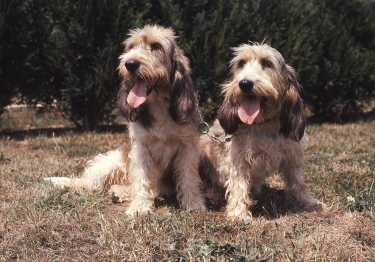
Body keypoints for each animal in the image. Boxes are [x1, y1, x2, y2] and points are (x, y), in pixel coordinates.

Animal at [46, 25, 209, 215]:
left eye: (156, 46)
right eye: (131, 46)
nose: (130, 64)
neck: (159, 105)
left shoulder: (187, 147)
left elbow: (189, 176)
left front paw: (193, 203)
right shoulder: (141, 148)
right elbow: (142, 177)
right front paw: (140, 207)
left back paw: (120, 192)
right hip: (111, 163)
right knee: (89, 182)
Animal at [200, 43, 320, 221]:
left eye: (267, 63)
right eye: (241, 63)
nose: (244, 84)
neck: (263, 124)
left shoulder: (293, 155)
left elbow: (298, 181)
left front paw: (307, 201)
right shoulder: (238, 159)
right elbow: (239, 184)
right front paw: (238, 213)